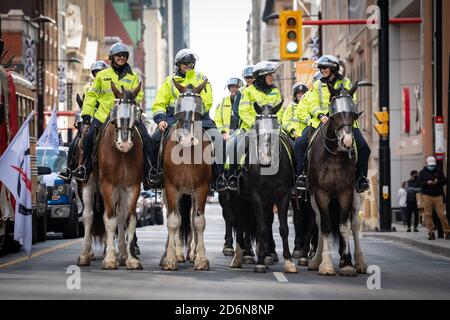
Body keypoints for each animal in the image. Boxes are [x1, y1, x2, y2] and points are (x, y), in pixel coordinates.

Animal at [76, 82, 142, 270]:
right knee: (88, 216)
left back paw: (122, 254)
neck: (122, 154)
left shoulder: (132, 186)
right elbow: (109, 220)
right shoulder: (107, 185)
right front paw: (110, 258)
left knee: (120, 216)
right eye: (114, 111)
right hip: (88, 185)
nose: (124, 143)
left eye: (137, 112)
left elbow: (129, 219)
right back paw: (85, 255)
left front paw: (130, 259)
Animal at [160, 79, 213, 272]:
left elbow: (198, 222)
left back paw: (192, 253)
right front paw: (170, 259)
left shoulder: (201, 189)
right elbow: (173, 221)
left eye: (198, 108)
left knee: (190, 219)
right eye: (178, 107)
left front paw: (201, 259)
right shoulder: (170, 188)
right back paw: (175, 254)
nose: (186, 138)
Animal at [229, 101, 298, 274]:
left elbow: (282, 228)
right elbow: (260, 228)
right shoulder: (256, 196)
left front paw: (288, 262)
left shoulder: (283, 195)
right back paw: (238, 257)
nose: (265, 158)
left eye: (276, 126)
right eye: (257, 126)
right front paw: (260, 262)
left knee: (262, 223)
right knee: (240, 225)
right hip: (237, 198)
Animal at [308, 82, 368, 276]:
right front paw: (326, 265)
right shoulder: (321, 194)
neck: (333, 157)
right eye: (333, 114)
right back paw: (316, 260)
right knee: (320, 223)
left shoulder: (346, 192)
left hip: (356, 196)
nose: (347, 142)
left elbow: (344, 226)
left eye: (354, 113)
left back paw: (358, 262)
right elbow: (326, 226)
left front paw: (348, 264)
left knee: (354, 224)